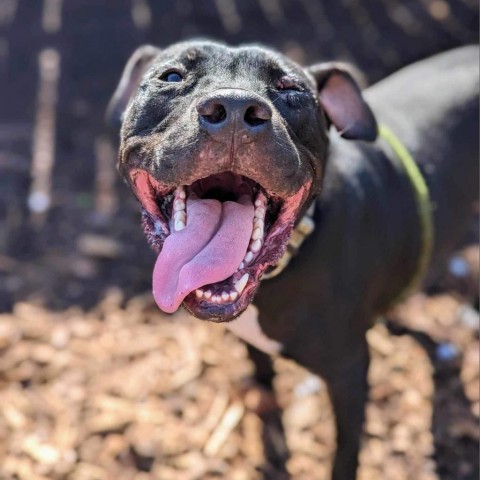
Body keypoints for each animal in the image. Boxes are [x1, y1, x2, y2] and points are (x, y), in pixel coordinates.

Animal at [107, 42, 478, 480]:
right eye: (172, 76)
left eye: (291, 89)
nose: (235, 109)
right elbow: (261, 367)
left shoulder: (350, 372)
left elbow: (345, 452)